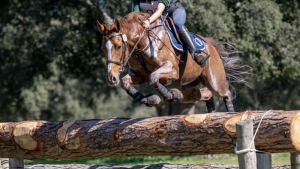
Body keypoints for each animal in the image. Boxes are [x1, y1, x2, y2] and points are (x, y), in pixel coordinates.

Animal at [97, 12, 247, 112]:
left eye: (118, 46)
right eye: (103, 48)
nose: (111, 78)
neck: (143, 42)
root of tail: (210, 44)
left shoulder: (172, 70)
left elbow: (154, 77)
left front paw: (169, 95)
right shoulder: (140, 75)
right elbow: (125, 82)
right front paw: (150, 99)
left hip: (214, 81)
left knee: (225, 94)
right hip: (188, 87)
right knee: (205, 94)